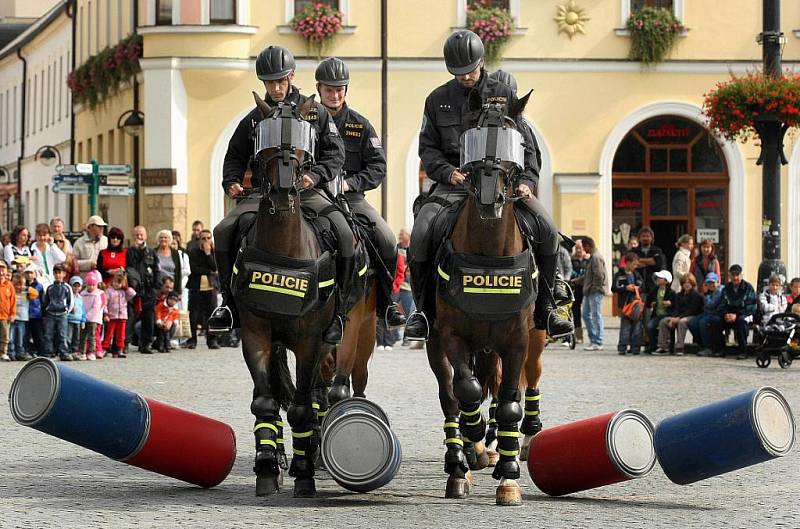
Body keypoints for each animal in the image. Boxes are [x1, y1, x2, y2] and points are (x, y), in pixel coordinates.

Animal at [239, 93, 376, 498]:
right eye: (265, 141)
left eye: (303, 143)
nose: (285, 189)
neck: (284, 249)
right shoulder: (257, 335)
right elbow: (265, 401)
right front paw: (267, 468)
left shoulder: (311, 340)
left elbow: (303, 404)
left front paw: (304, 472)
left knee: (323, 392)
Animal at [424, 93, 536, 506]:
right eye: (472, 136)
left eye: (513, 140)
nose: (490, 197)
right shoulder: (452, 336)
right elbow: (466, 391)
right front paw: (474, 436)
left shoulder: (518, 341)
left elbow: (509, 403)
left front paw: (509, 476)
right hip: (438, 346)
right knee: (450, 395)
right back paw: (460, 464)